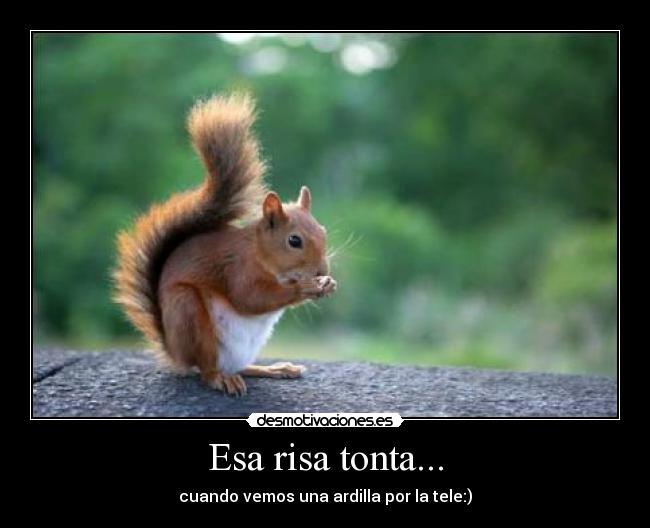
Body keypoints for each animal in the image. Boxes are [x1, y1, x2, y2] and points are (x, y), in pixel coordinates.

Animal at [113, 93, 336, 396]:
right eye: (294, 240)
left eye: (323, 231)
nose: (322, 271)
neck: (260, 253)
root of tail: (175, 353)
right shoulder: (237, 267)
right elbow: (249, 297)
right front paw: (306, 287)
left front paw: (328, 284)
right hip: (190, 315)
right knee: (207, 370)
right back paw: (222, 379)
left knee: (241, 367)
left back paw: (273, 369)